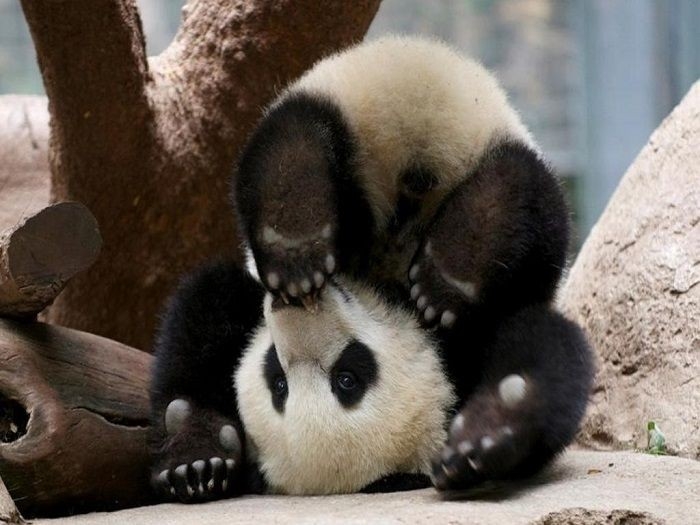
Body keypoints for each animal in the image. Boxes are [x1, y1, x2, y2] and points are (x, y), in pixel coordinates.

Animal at [148, 36, 594, 501]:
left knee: (522, 196)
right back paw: (297, 237)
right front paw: (197, 456)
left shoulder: (469, 341)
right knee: (297, 137)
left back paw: (440, 276)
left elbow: (547, 348)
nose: (295, 308)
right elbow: (204, 311)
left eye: (348, 378)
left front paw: (487, 431)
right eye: (278, 381)